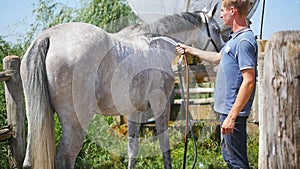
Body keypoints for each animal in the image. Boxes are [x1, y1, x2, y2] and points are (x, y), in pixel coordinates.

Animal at [20, 3, 223, 169]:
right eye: (217, 30)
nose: (221, 53)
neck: (156, 45)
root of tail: (47, 37)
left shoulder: (135, 111)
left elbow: (133, 149)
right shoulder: (161, 105)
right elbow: (164, 146)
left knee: (31, 161)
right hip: (75, 123)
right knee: (65, 158)